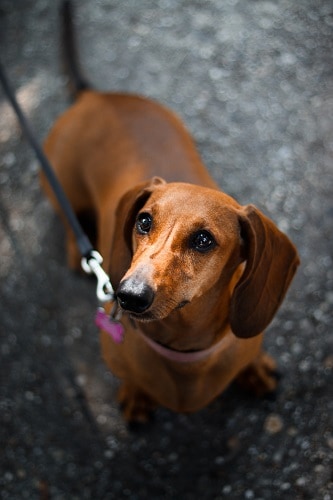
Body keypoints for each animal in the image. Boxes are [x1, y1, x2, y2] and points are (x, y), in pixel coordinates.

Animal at [40, 0, 298, 422]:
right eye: (144, 221)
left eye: (204, 239)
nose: (128, 296)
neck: (184, 355)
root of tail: (95, 97)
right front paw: (136, 395)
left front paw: (255, 369)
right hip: (57, 181)